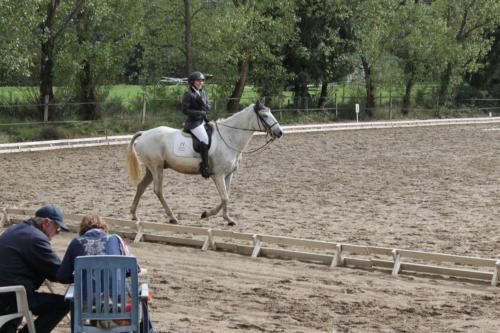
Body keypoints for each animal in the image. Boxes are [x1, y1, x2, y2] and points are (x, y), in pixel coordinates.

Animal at [126, 100, 282, 226]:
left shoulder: (228, 175)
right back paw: (172, 217)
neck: (229, 137)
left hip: (151, 169)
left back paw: (134, 215)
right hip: (156, 167)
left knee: (141, 187)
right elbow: (224, 197)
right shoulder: (218, 175)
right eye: (265, 116)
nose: (279, 132)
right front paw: (206, 214)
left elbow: (226, 197)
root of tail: (144, 133)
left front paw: (228, 219)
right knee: (158, 190)